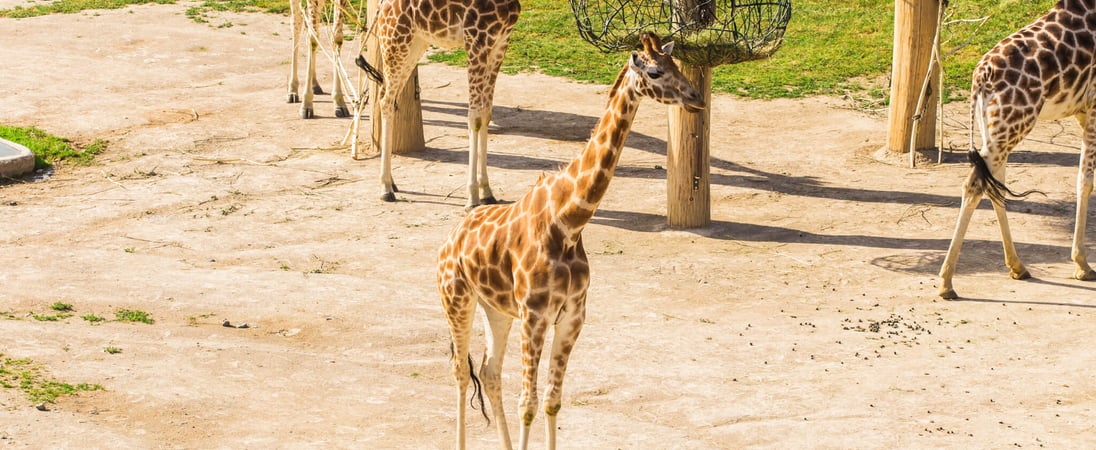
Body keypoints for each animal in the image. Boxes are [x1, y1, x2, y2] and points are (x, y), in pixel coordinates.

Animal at [434, 33, 701, 448]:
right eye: (656, 72)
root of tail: (449, 240)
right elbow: (527, 403)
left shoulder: (573, 316)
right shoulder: (535, 316)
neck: (569, 220)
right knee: (461, 372)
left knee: (489, 371)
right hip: (457, 299)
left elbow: (551, 400)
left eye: (677, 66)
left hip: (496, 309)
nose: (696, 97)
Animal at [933, 0, 1096, 302]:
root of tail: (981, 77)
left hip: (995, 130)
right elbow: (1085, 181)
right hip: (1012, 126)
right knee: (975, 185)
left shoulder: (1082, 112)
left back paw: (1017, 266)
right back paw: (947, 282)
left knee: (993, 184)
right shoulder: (1094, 108)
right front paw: (1082, 264)